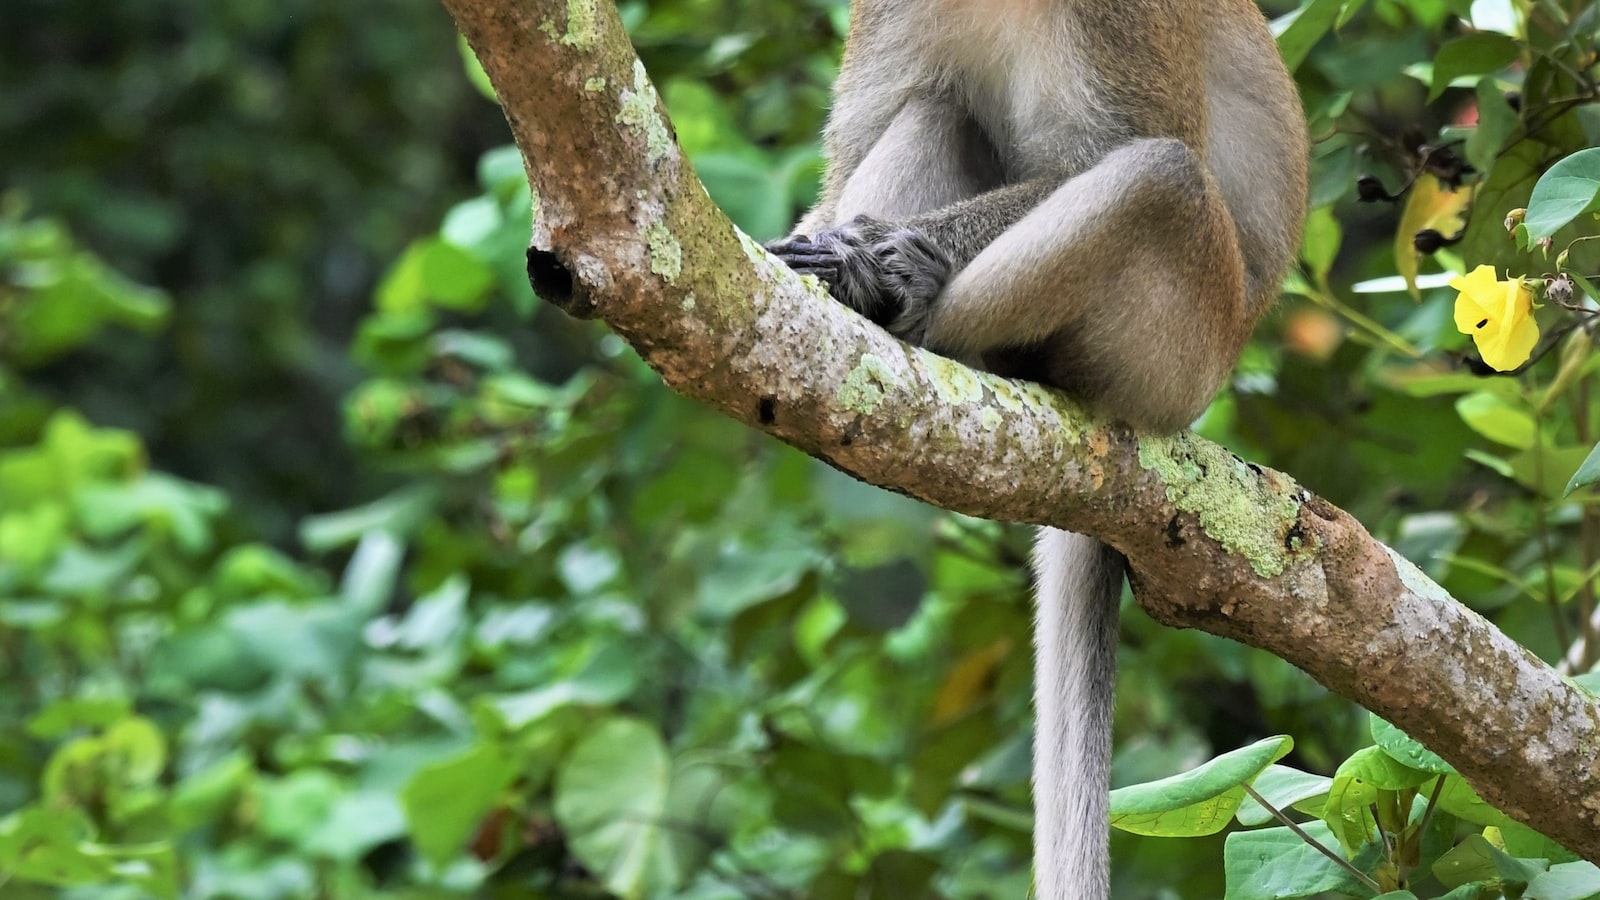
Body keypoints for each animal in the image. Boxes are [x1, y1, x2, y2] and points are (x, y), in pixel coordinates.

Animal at [764, 3, 1312, 890]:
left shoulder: (1121, 25)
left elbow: (1131, 149)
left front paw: (888, 251)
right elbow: (851, 156)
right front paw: (824, 249)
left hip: (1180, 340)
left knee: (1159, 176)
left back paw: (925, 310)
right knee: (939, 108)